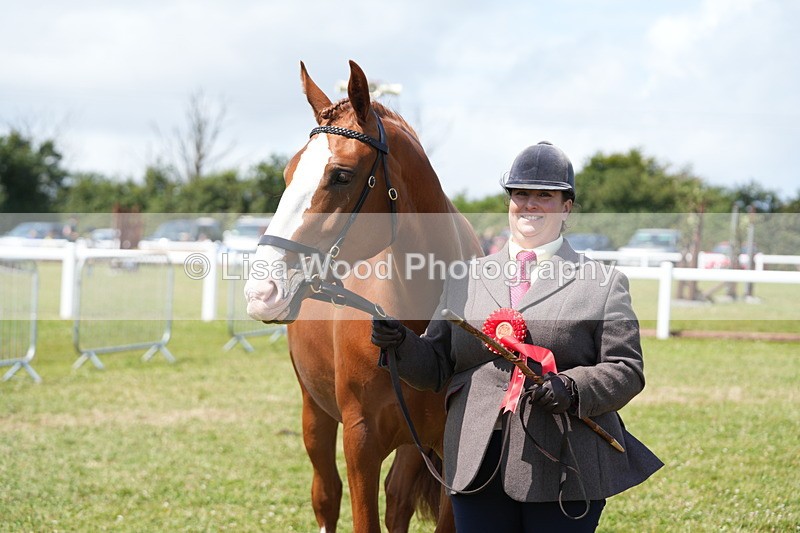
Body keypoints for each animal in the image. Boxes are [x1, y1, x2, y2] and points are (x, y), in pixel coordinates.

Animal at [245, 60, 483, 532]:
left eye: (341, 175)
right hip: (315, 412)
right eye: (287, 174)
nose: (263, 290)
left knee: (398, 499)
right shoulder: (360, 439)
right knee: (326, 494)